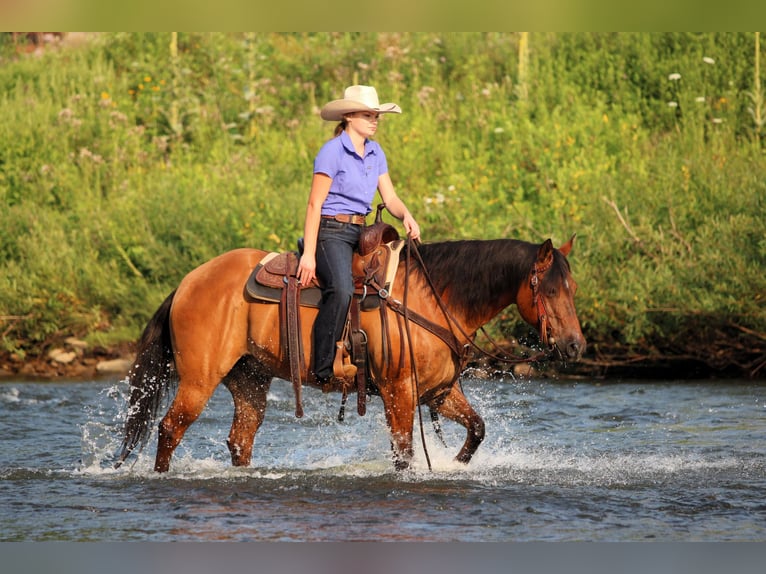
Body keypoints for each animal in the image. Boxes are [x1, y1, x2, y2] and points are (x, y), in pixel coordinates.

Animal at [115, 235, 585, 473]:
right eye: (548, 290)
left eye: (573, 288)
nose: (576, 345)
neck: (434, 298)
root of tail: (188, 282)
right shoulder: (399, 390)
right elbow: (403, 452)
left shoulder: (438, 392)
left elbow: (477, 430)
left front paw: (455, 463)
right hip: (199, 379)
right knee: (170, 429)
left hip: (249, 379)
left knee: (239, 441)